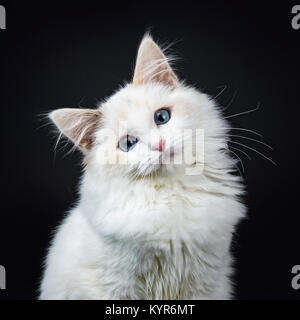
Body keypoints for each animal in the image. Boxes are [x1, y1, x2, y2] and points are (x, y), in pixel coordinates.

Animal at [39, 34, 246, 300]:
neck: (174, 194)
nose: (159, 145)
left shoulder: (207, 283)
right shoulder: (113, 288)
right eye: (128, 144)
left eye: (162, 117)